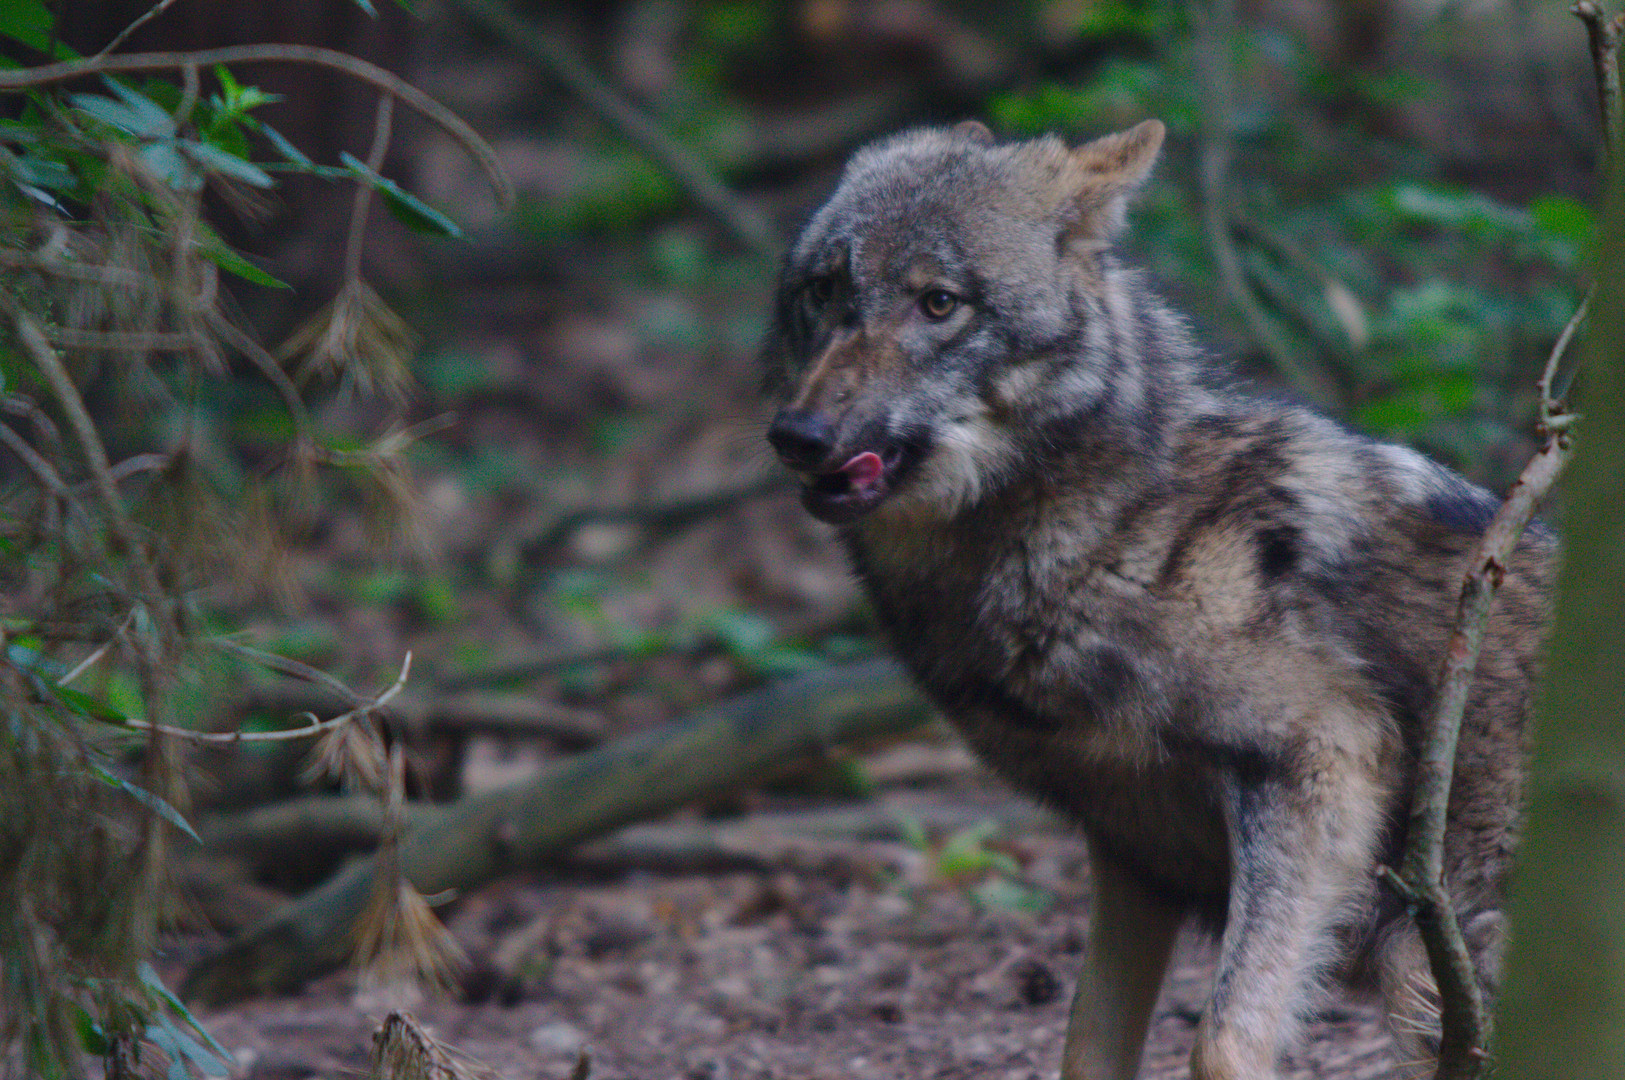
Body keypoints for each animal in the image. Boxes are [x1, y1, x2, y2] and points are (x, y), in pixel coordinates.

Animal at [754, 120, 1553, 1078]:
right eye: (825, 290)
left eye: (938, 303)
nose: (796, 437)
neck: (1109, 531)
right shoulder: (1133, 855)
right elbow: (1085, 1047)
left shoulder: (1322, 764)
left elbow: (1223, 1040)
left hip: (1420, 953)